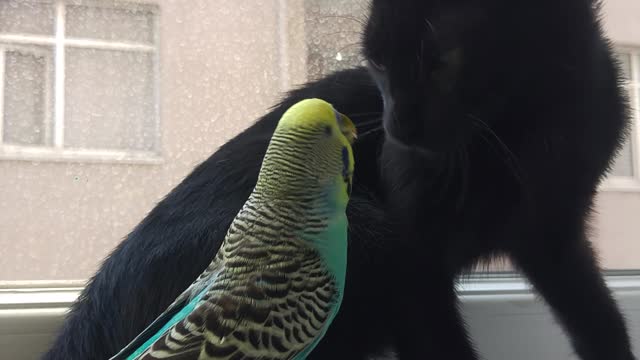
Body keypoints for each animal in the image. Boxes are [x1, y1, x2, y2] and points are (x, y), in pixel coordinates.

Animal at [43, 0, 636, 360]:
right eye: (378, 63)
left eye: (443, 60)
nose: (396, 130)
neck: (523, 134)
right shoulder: (414, 254)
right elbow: (438, 341)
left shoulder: (555, 237)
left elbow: (599, 317)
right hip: (364, 231)